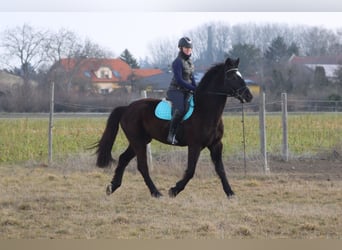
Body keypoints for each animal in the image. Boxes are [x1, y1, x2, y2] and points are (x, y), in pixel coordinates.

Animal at [95, 57, 252, 198]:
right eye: (232, 76)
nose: (249, 96)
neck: (205, 110)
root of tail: (127, 108)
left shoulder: (216, 144)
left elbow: (220, 169)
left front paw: (230, 193)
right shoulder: (195, 145)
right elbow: (190, 170)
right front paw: (174, 190)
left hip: (140, 141)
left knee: (123, 159)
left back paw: (112, 187)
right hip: (138, 141)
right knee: (142, 166)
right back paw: (156, 192)